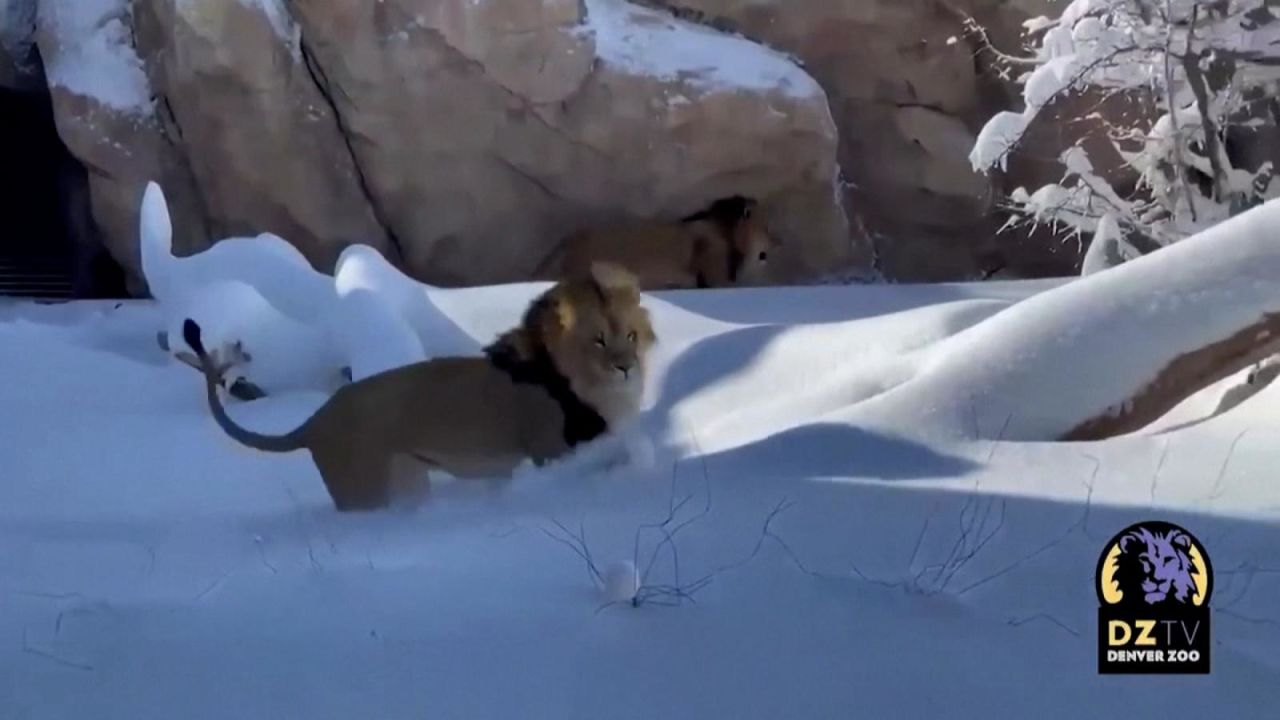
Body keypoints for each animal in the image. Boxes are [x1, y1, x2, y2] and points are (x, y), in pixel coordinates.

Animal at [183, 260, 660, 507]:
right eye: (598, 339)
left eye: (631, 336)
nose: (626, 368)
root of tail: (314, 422)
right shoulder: (549, 451)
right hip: (369, 491)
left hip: (408, 482)